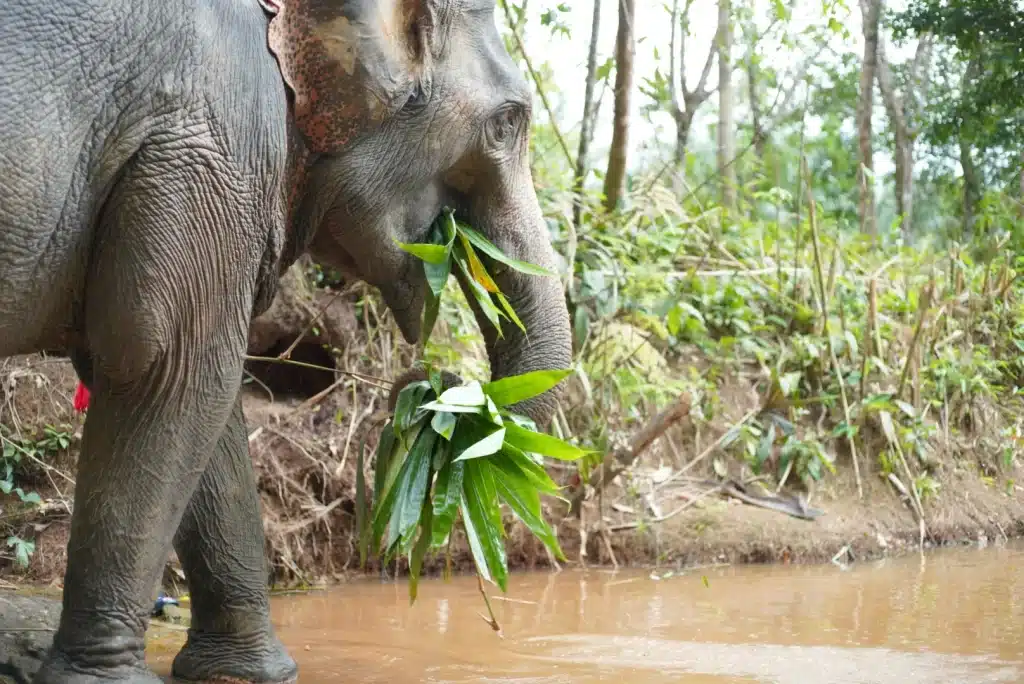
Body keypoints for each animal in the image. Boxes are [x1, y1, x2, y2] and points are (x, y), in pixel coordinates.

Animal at [0, 0, 573, 679]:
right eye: (508, 122)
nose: (431, 384)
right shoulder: (210, 156)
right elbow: (167, 374)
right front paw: (102, 678)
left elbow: (207, 403)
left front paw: (248, 671)